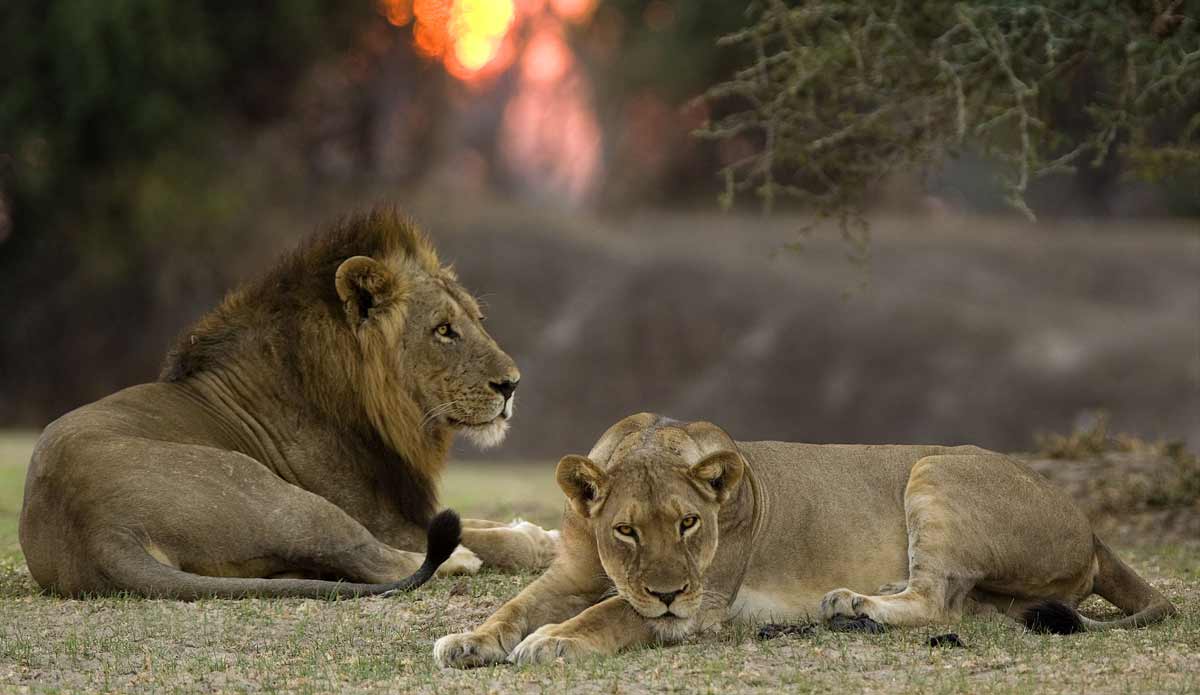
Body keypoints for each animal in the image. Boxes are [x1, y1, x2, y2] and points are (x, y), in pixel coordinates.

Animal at [19, 207, 558, 599]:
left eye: (477, 320)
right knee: (374, 556)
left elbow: (484, 521)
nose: (512, 385)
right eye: (444, 330)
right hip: (275, 494)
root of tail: (99, 530)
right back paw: (461, 561)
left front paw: (543, 533)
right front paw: (534, 542)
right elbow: (484, 536)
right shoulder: (386, 520)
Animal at [435, 413, 1177, 667]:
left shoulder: (696, 610)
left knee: (937, 601)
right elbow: (516, 605)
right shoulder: (573, 573)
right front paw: (468, 640)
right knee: (959, 604)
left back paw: (851, 604)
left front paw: (551, 643)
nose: (669, 590)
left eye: (689, 523)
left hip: (933, 468)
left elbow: (611, 613)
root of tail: (1092, 526)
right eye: (625, 530)